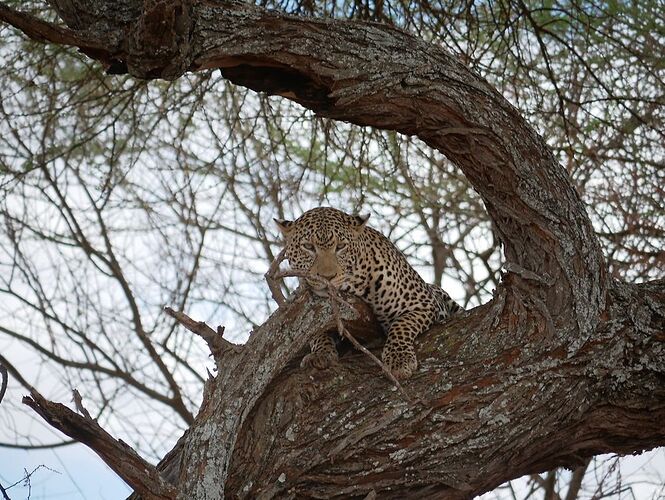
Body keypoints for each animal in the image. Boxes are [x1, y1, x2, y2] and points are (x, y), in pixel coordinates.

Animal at [274, 207, 462, 378]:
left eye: (340, 247)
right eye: (308, 247)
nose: (327, 277)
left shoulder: (424, 302)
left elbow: (401, 325)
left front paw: (399, 360)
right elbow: (315, 333)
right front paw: (321, 353)